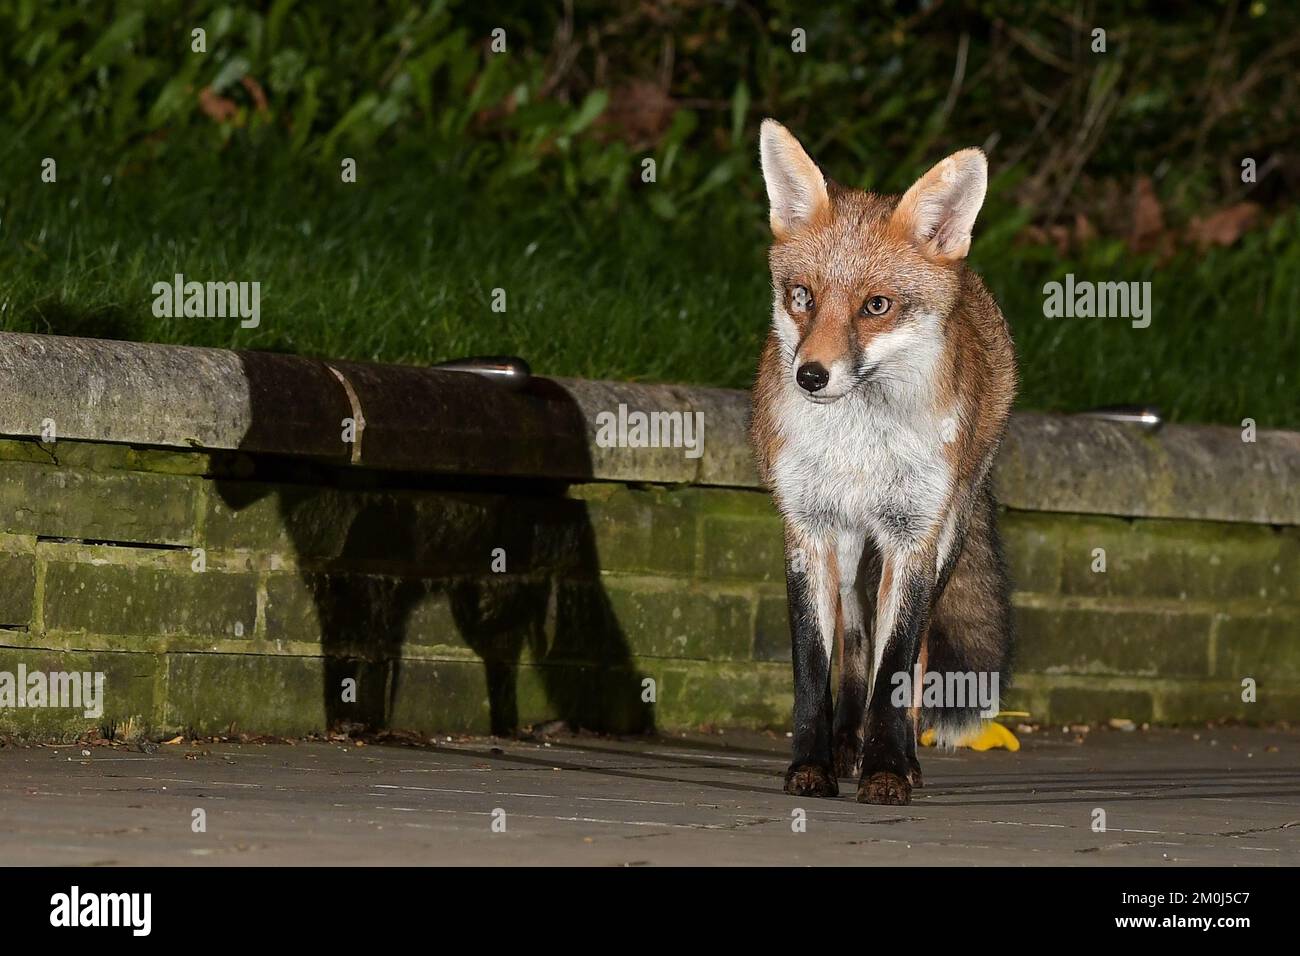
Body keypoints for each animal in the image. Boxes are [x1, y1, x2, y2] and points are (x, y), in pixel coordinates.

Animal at [749, 120, 1018, 806]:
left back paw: (894, 755)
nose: (810, 376)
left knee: (908, 651)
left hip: (943, 539)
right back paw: (847, 744)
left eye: (877, 306)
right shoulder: (808, 531)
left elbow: (896, 663)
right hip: (849, 555)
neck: (859, 449)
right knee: (853, 645)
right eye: (802, 296)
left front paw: (890, 770)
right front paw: (811, 766)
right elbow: (814, 665)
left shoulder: (912, 538)